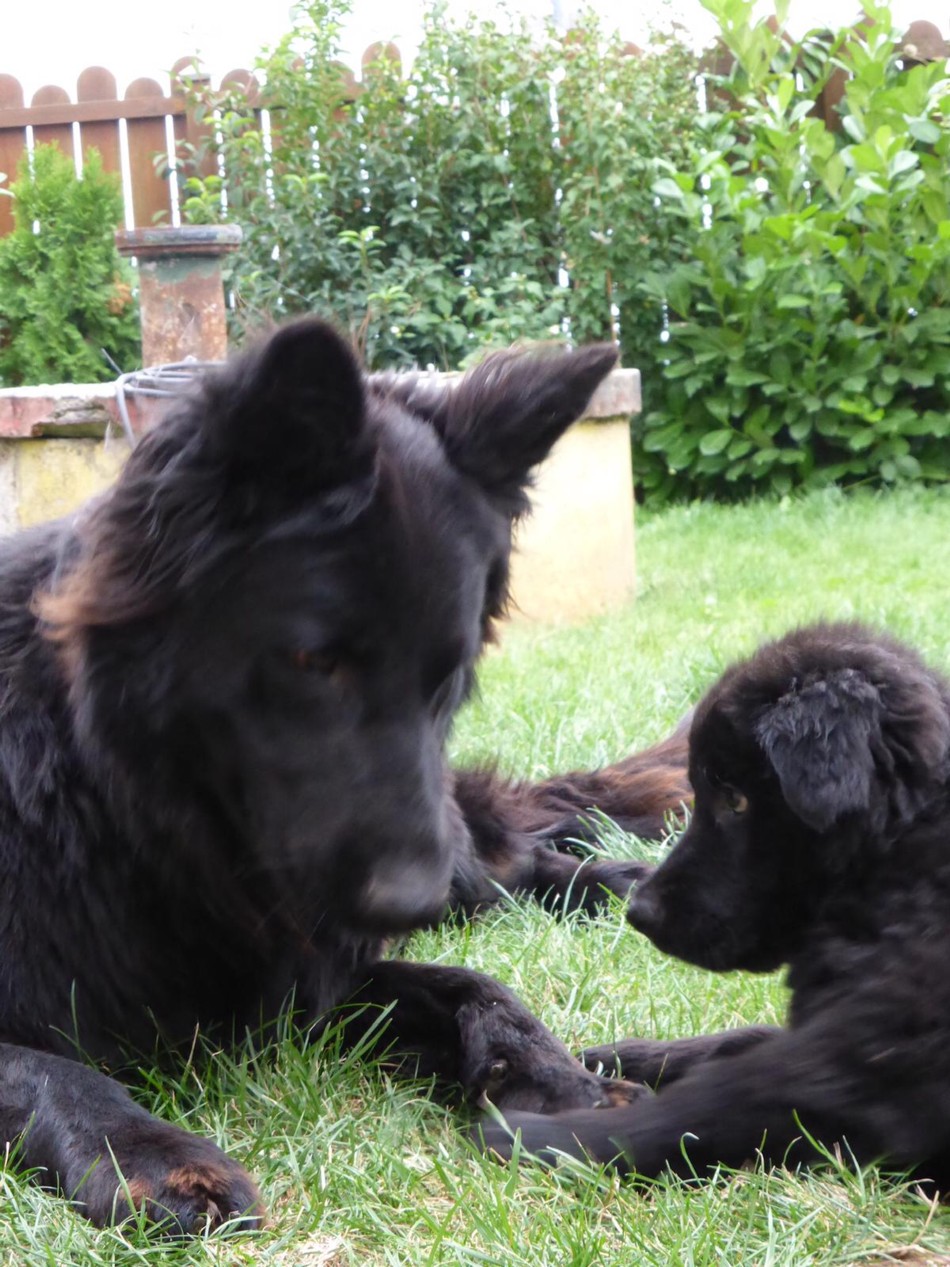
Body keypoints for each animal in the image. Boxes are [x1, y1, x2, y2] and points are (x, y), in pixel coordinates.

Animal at [0, 321, 694, 1231]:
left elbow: (472, 979)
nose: (410, 901)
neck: (118, 806)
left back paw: (623, 882)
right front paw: (145, 1151)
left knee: (509, 866)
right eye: (313, 660)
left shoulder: (321, 963)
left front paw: (555, 1076)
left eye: (449, 670)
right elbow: (45, 1067)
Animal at [476, 618, 950, 1190]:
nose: (638, 912)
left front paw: (540, 1135)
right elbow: (739, 1040)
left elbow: (714, 1103)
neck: (898, 856)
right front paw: (625, 1055)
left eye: (736, 799)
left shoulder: (872, 1076)